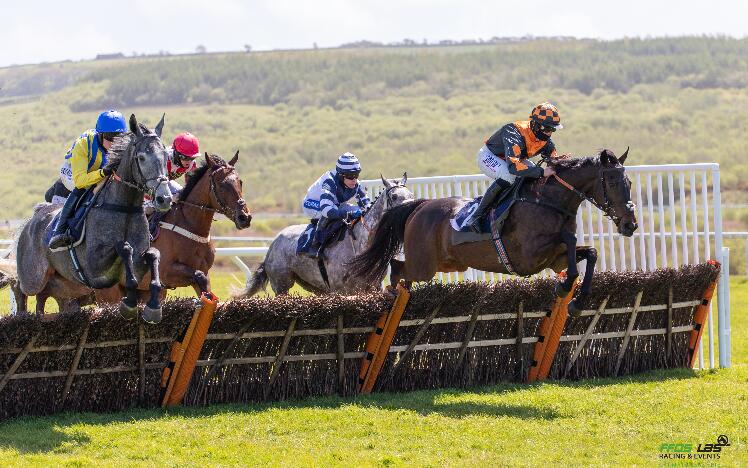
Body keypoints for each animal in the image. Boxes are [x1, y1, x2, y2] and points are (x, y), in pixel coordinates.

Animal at [96, 151, 251, 304]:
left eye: (240, 182)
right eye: (222, 185)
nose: (245, 217)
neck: (192, 226)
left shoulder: (204, 273)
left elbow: (204, 285)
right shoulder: (166, 272)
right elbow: (199, 276)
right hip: (111, 293)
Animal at [240, 176, 412, 296]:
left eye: (411, 194)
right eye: (394, 196)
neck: (361, 245)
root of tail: (272, 245)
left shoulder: (374, 287)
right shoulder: (341, 290)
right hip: (281, 286)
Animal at [350, 149, 636, 314]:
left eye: (629, 182)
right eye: (612, 181)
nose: (629, 224)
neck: (548, 200)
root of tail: (419, 206)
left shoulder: (554, 260)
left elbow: (591, 253)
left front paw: (576, 301)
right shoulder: (529, 257)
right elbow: (569, 237)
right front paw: (565, 288)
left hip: (447, 264)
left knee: (401, 270)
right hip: (424, 265)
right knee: (396, 268)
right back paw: (392, 300)